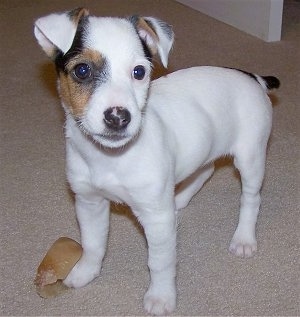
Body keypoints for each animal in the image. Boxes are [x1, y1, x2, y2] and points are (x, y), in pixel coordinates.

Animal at [34, 8, 280, 314]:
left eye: (139, 72)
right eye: (82, 70)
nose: (119, 116)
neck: (110, 158)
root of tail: (254, 77)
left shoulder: (155, 217)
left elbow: (160, 262)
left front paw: (161, 297)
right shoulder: (89, 202)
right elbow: (93, 244)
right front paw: (85, 272)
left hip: (251, 155)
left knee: (251, 198)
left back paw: (244, 237)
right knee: (205, 169)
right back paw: (178, 201)